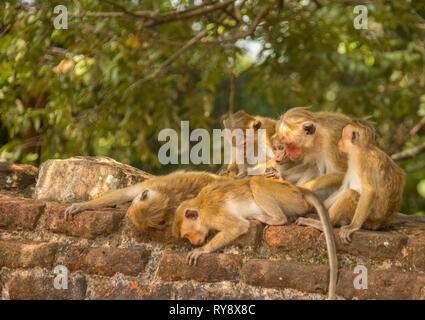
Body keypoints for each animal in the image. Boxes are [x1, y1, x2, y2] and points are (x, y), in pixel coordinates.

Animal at [172, 176, 338, 302]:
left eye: (187, 235)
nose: (194, 242)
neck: (200, 206)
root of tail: (298, 189)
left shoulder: (213, 213)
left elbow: (239, 226)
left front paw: (201, 250)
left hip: (288, 196)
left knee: (256, 182)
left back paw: (277, 219)